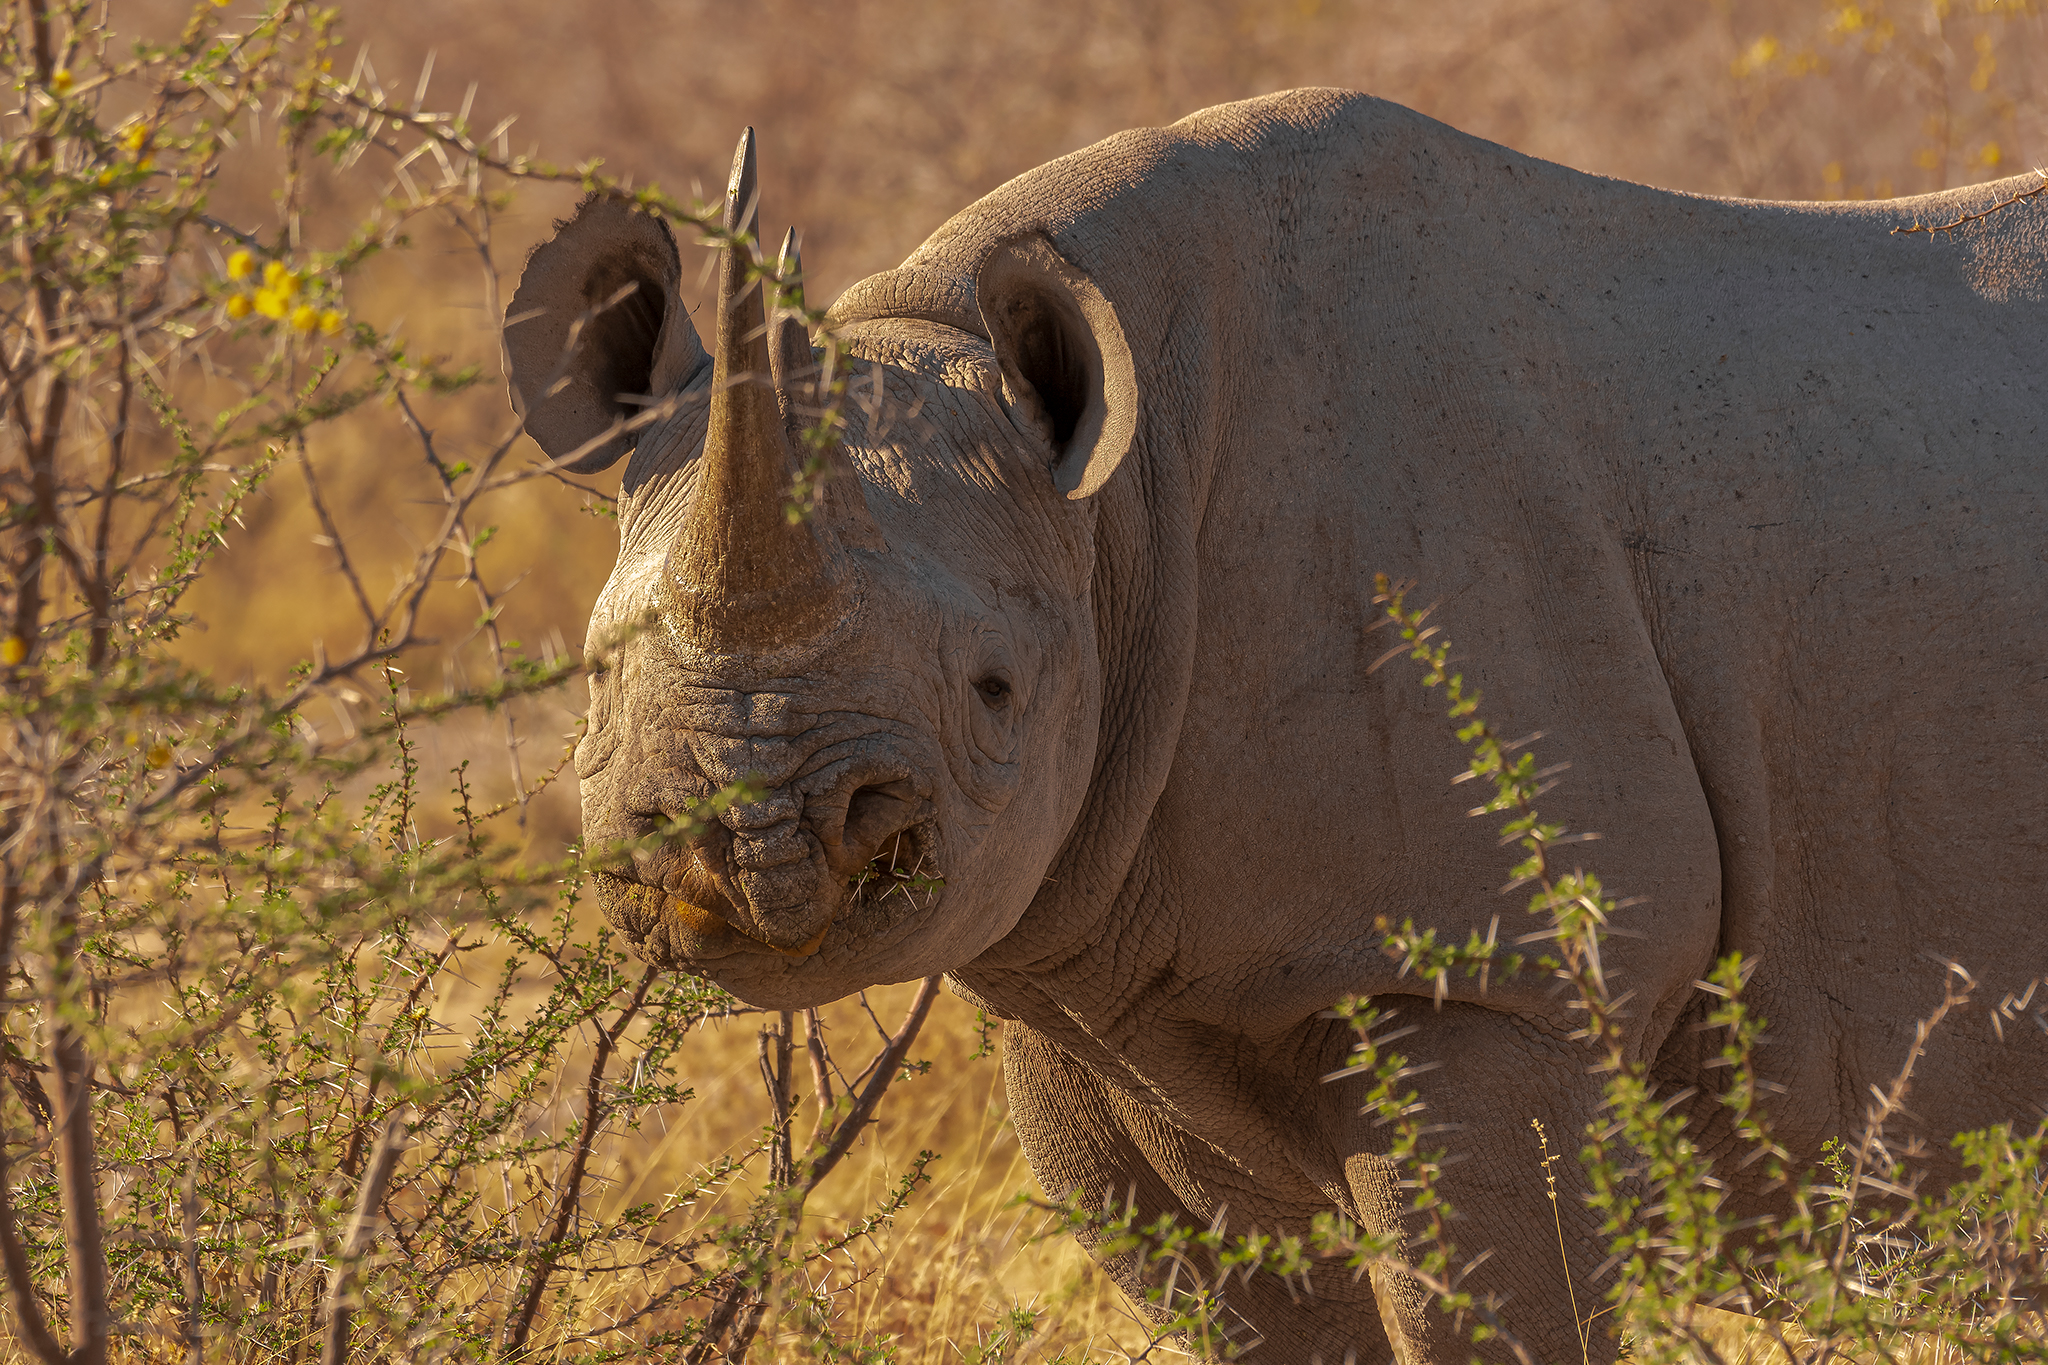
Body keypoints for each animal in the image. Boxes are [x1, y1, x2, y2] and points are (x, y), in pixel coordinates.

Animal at [504, 89, 2048, 1363]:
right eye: (595, 679)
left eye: (996, 690)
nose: (743, 846)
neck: (1113, 522)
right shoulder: (1098, 994)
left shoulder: (1493, 980)